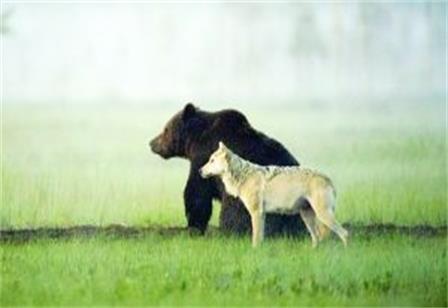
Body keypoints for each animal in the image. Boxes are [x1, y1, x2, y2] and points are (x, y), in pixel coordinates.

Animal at [150, 103, 308, 236]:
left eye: (165, 129)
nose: (151, 143)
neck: (195, 140)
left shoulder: (203, 157)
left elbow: (197, 193)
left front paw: (194, 226)